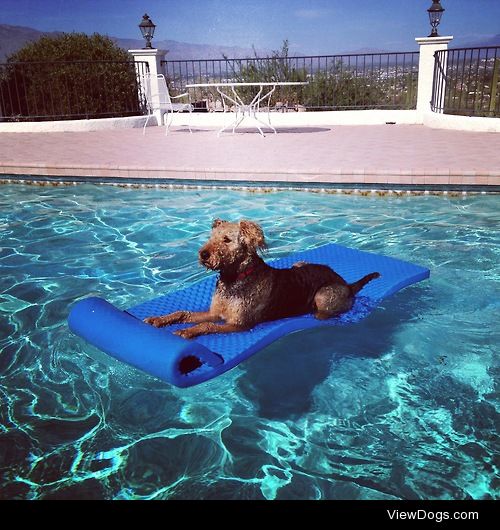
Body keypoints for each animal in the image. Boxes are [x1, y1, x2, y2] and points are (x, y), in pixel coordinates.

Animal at [144, 219, 378, 338]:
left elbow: (207, 326)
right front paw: (159, 320)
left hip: (323, 294)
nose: (203, 254)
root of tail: (348, 284)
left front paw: (187, 331)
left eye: (226, 239)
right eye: (211, 237)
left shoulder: (238, 325)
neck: (234, 279)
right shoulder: (215, 312)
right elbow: (183, 312)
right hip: (300, 264)